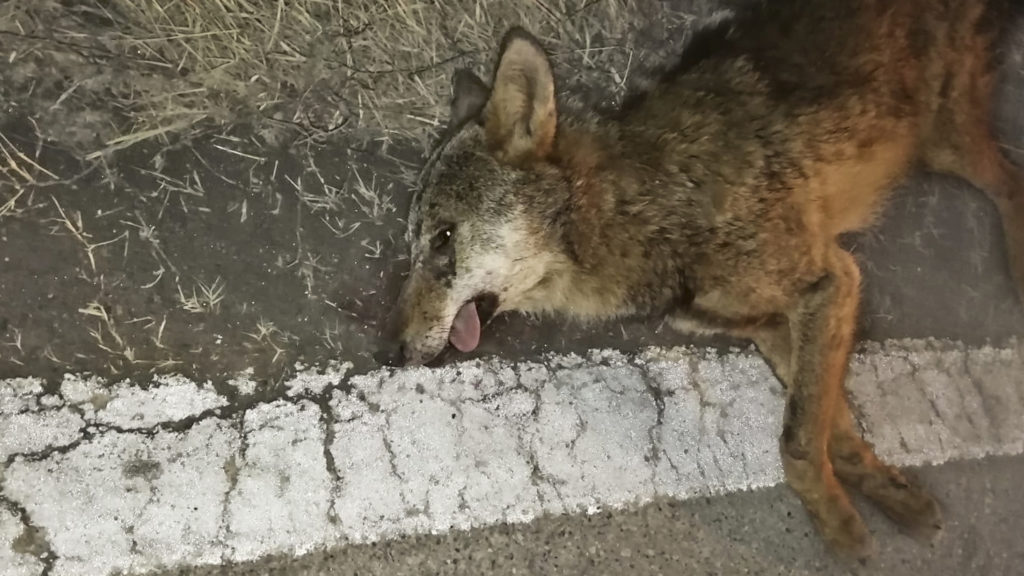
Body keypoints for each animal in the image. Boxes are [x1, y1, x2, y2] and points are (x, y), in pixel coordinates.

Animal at [389, 0, 1024, 560]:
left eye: (443, 239)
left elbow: (796, 443)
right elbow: (832, 431)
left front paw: (843, 535)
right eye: (413, 247)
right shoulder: (768, 324)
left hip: (946, 145)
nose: (391, 352)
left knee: (1010, 181)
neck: (645, 206)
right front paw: (891, 498)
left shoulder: (830, 281)